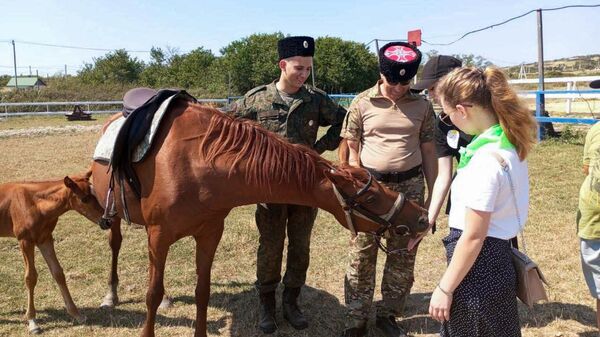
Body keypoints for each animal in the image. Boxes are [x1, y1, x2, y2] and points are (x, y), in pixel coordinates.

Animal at [0, 171, 112, 334]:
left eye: (96, 194)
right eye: (84, 199)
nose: (107, 222)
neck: (35, 204)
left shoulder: (45, 239)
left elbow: (58, 273)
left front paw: (77, 314)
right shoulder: (25, 241)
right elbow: (30, 277)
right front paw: (32, 321)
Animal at [90, 99, 426, 336]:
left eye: (378, 184)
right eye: (370, 197)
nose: (421, 217)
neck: (195, 161)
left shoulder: (209, 233)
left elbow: (201, 291)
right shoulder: (159, 236)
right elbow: (151, 293)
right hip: (116, 217)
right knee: (115, 245)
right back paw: (110, 294)